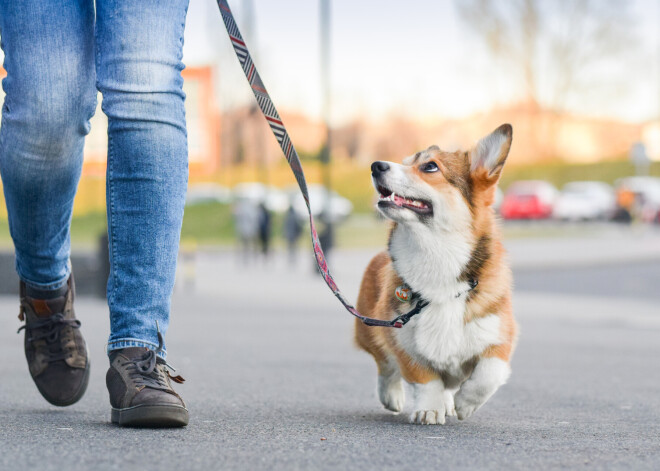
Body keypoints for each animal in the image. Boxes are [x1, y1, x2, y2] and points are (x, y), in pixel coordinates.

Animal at [354, 123, 520, 426]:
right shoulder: (401, 339)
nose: (376, 165)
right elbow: (424, 378)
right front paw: (429, 409)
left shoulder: (500, 336)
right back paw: (393, 396)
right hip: (369, 329)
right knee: (385, 366)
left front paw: (465, 403)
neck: (436, 255)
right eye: (405, 161)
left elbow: (488, 373)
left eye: (430, 166)